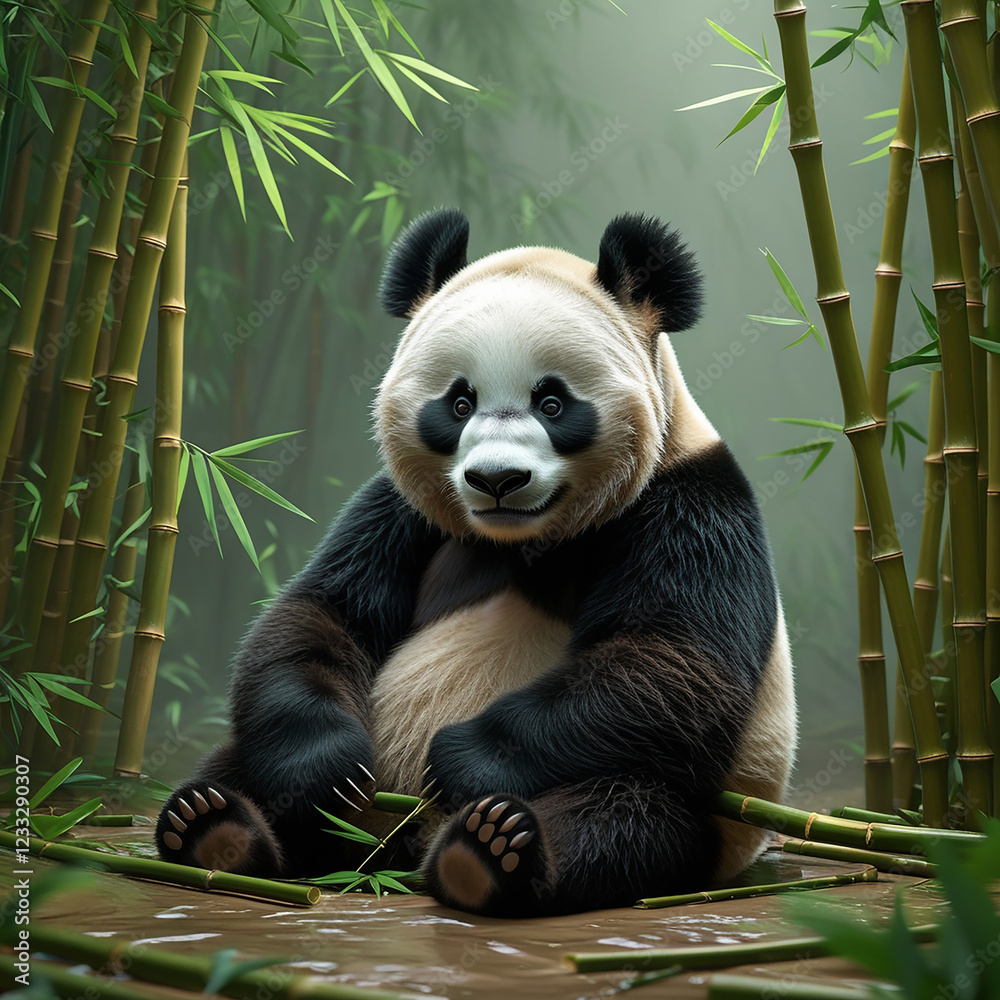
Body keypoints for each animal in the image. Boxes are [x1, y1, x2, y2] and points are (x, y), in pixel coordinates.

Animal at [156, 209, 796, 917]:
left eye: (553, 402)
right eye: (459, 402)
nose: (496, 479)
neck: (525, 538)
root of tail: (394, 852)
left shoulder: (690, 504)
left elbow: (671, 659)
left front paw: (461, 758)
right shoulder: (402, 512)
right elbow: (322, 615)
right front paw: (328, 767)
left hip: (707, 811)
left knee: (626, 815)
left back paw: (491, 849)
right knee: (243, 764)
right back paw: (216, 827)